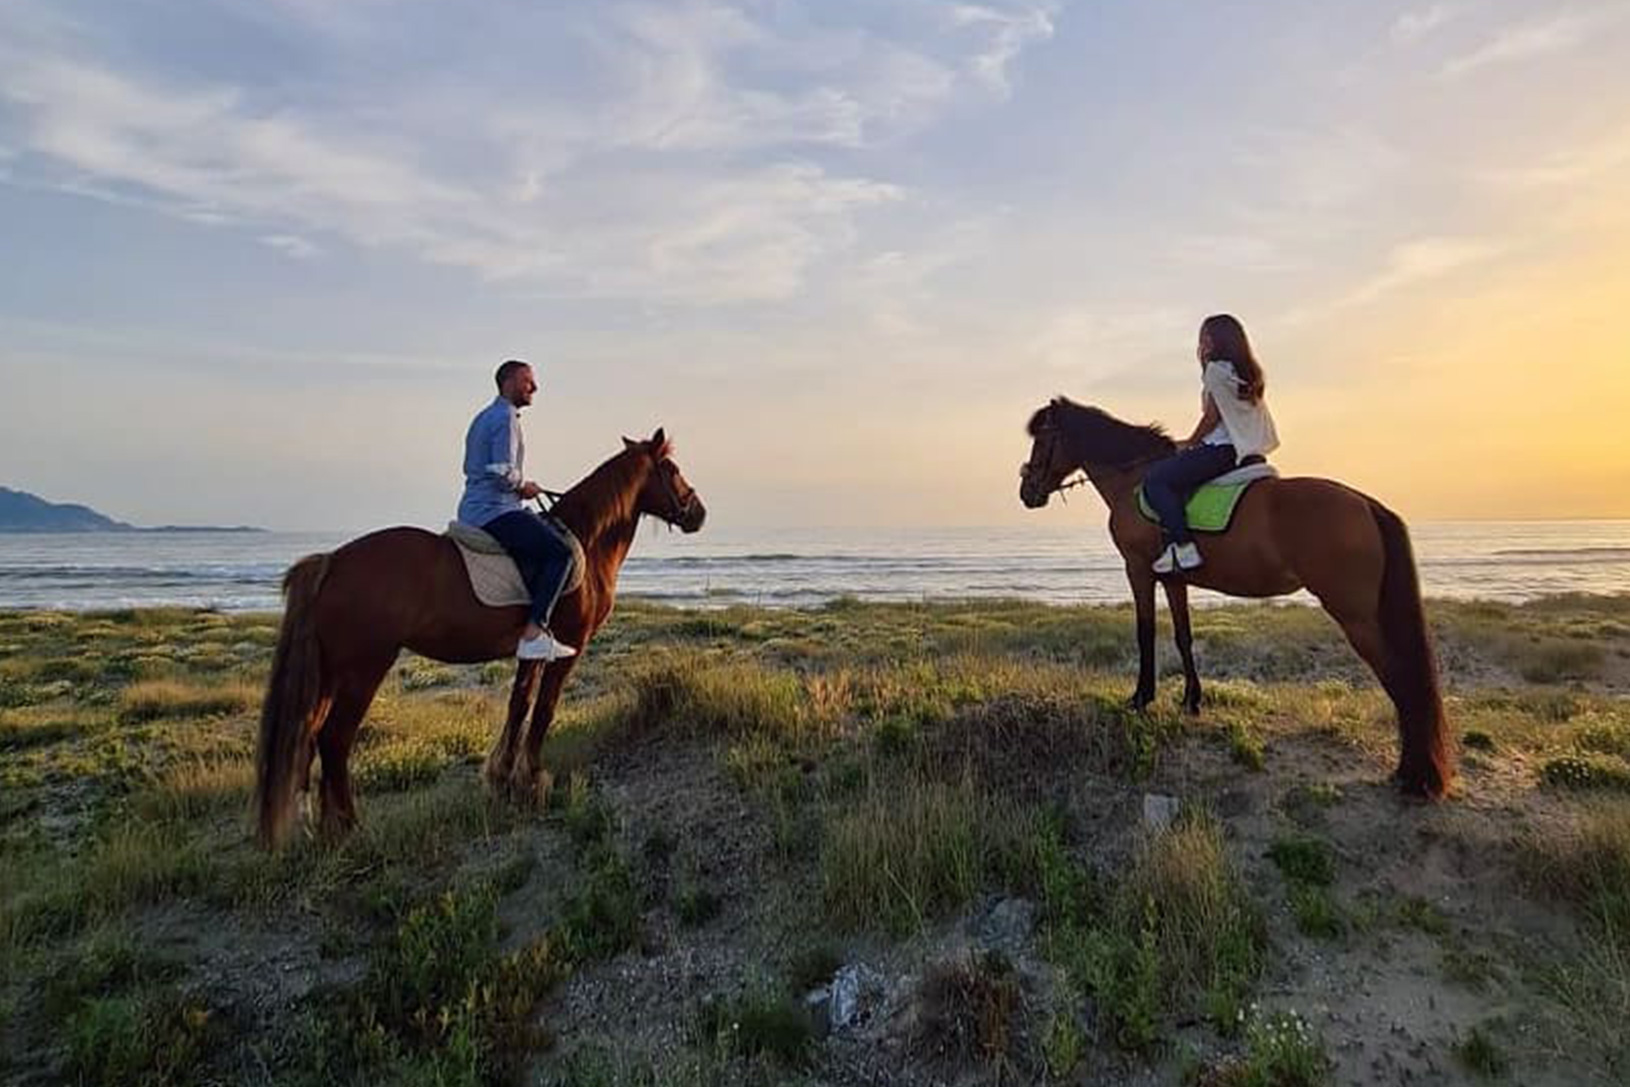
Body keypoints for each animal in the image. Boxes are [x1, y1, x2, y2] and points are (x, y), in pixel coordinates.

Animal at [255, 430, 707, 847]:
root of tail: (332, 562)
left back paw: (321, 828)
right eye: (670, 469)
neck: (586, 539)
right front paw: (533, 779)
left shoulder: (533, 649)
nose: (698, 513)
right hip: (364, 668)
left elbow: (519, 705)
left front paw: (504, 778)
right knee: (334, 739)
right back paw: (350, 827)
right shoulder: (569, 646)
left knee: (309, 736)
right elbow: (544, 710)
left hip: (330, 672)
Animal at [1017, 399, 1453, 798]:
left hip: (1354, 615)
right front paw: (1191, 701)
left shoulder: (1139, 570)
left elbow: (1145, 633)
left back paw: (1414, 776)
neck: (1134, 480)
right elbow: (1183, 636)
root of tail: (1364, 503)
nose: (1026, 491)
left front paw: (1141, 698)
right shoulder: (1172, 578)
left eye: (1042, 438)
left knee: (1401, 679)